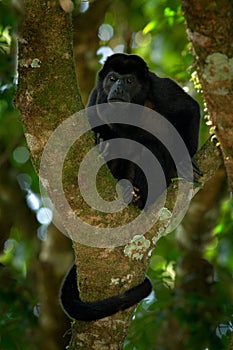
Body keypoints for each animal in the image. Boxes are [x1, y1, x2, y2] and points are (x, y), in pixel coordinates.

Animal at [60, 53, 202, 322]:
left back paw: (139, 195)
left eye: (129, 80)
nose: (117, 88)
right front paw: (100, 140)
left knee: (152, 148)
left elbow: (189, 109)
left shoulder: (160, 88)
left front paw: (185, 160)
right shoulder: (97, 94)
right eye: (113, 78)